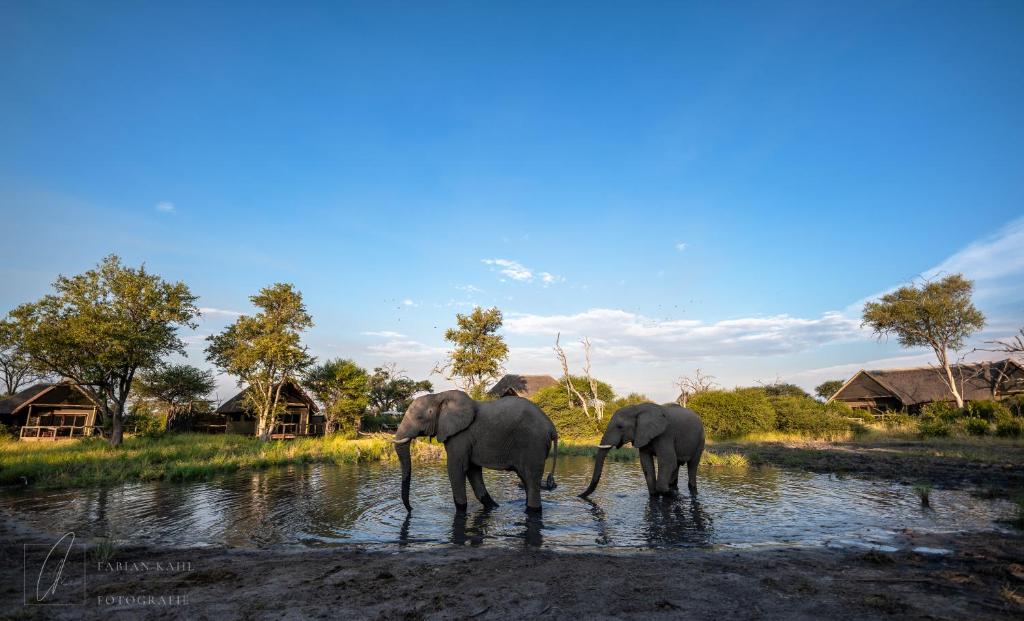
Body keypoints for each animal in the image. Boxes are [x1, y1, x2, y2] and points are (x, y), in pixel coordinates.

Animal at [389, 393, 557, 516]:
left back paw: (532, 510)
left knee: (531, 480)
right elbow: (472, 470)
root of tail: (552, 428)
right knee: (526, 479)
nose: (411, 510)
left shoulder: (460, 436)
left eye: (419, 418)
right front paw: (493, 507)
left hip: (533, 444)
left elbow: (456, 469)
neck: (438, 396)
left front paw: (462, 511)